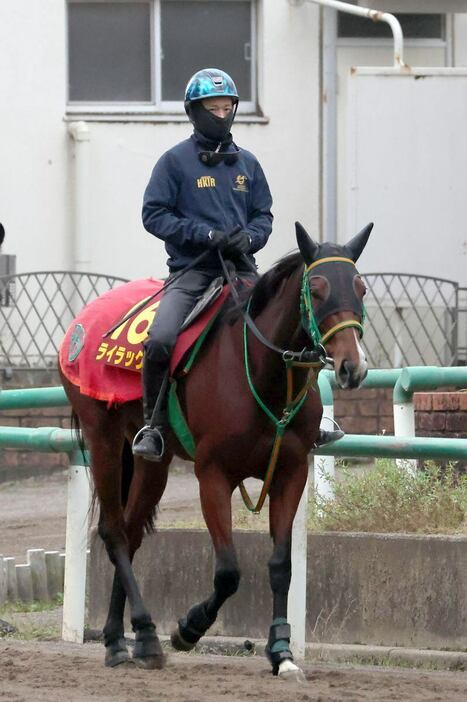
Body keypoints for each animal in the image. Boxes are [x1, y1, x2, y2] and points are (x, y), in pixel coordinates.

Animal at [57, 221, 372, 680]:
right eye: (316, 289)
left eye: (361, 288)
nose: (353, 366)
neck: (261, 371)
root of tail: (79, 326)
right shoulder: (213, 475)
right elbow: (227, 573)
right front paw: (188, 629)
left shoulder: (291, 472)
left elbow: (281, 566)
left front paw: (281, 651)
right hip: (103, 439)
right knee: (114, 533)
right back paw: (137, 637)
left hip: (153, 461)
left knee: (131, 535)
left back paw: (126, 638)